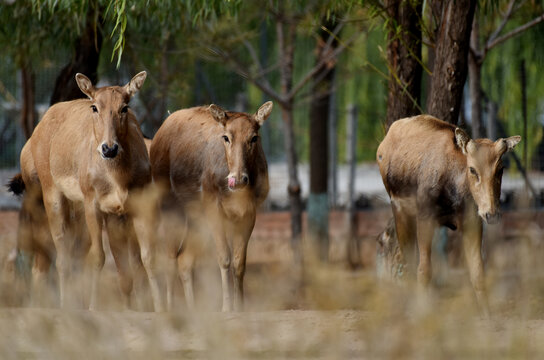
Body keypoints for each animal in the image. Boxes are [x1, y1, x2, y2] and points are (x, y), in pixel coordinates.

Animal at [14, 71, 163, 310]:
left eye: (125, 107)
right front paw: (93, 307)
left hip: (76, 210)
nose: (109, 148)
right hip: (51, 196)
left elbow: (144, 258)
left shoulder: (130, 207)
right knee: (58, 259)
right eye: (95, 107)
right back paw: (62, 305)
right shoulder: (93, 204)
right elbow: (98, 257)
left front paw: (158, 308)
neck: (118, 178)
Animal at [151, 102, 272, 312]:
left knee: (184, 259)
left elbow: (239, 262)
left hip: (195, 216)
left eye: (254, 137)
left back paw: (192, 308)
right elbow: (224, 258)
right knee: (170, 257)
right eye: (226, 137)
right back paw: (169, 308)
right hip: (169, 204)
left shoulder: (249, 213)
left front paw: (240, 306)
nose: (237, 179)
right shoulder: (213, 206)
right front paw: (226, 306)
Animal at [376, 113, 520, 316]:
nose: (491, 214)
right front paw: (422, 310)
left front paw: (487, 313)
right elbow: (424, 269)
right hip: (399, 209)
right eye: (472, 169)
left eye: (500, 169)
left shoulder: (472, 222)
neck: (455, 190)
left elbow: (478, 271)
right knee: (405, 261)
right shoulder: (425, 217)